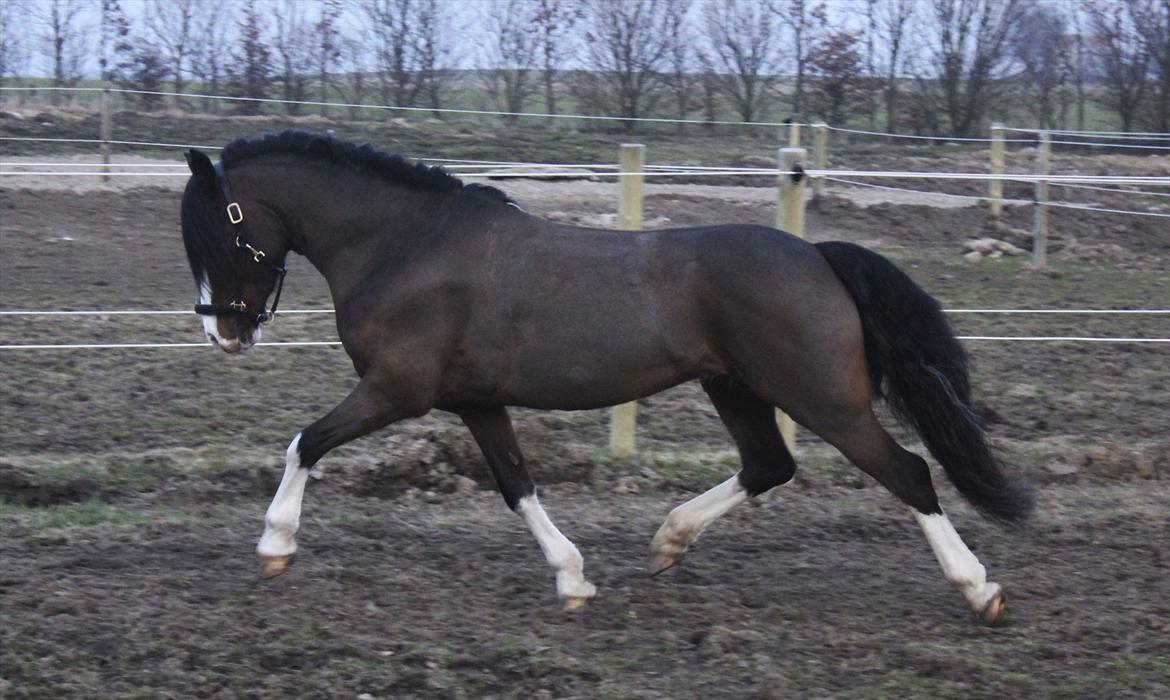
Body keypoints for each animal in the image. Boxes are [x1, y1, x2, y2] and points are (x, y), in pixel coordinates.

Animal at [177, 130, 1029, 627]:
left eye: (216, 228)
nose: (223, 331)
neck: (404, 244)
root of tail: (817, 256)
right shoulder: (475, 403)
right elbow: (518, 486)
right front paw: (574, 580)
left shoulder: (397, 392)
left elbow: (305, 443)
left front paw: (275, 544)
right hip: (735, 387)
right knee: (769, 465)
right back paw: (668, 540)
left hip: (824, 399)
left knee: (910, 472)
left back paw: (981, 589)